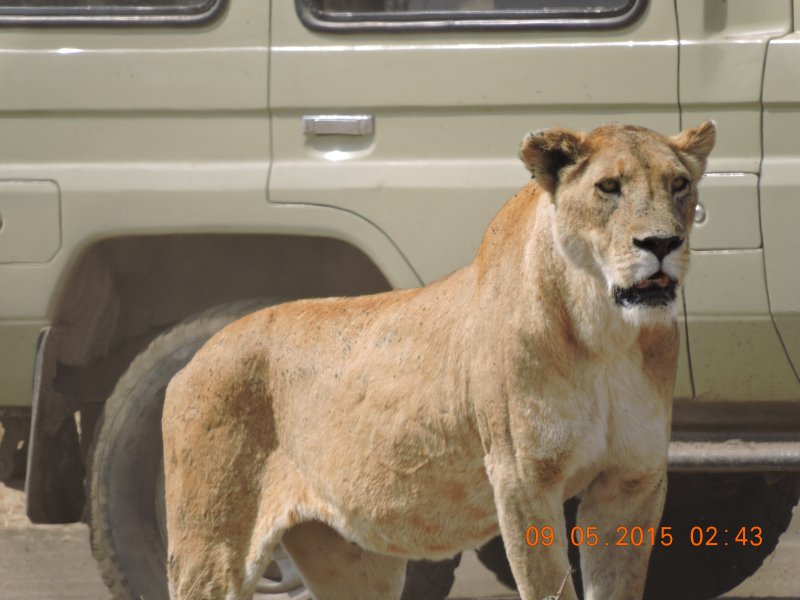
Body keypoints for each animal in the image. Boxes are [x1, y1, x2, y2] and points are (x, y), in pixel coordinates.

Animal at [162, 121, 716, 600]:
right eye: (608, 187)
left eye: (679, 184)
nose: (662, 243)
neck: (604, 331)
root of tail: (195, 358)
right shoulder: (522, 480)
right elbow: (548, 588)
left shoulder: (632, 480)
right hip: (211, 552)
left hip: (350, 560)